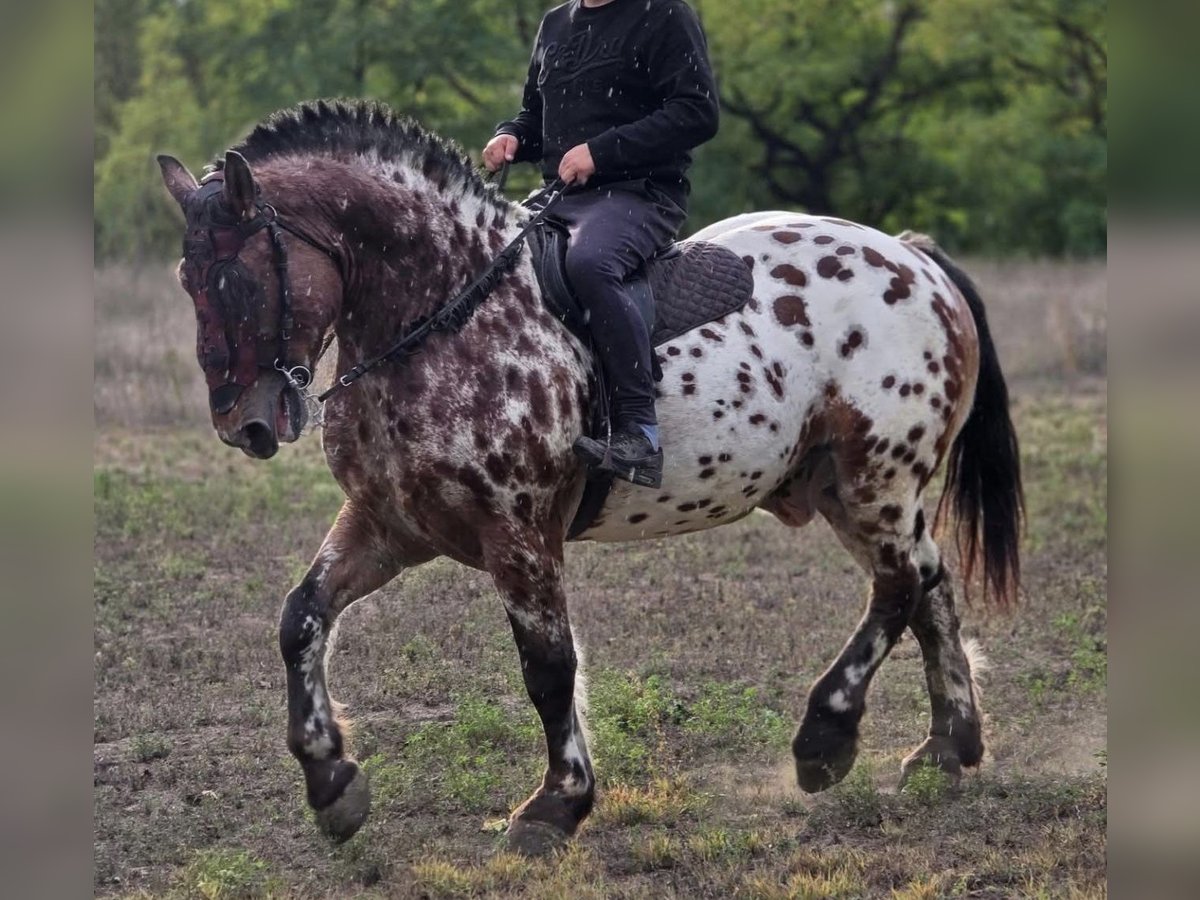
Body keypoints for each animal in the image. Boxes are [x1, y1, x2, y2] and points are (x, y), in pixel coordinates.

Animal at [155, 100, 1022, 853]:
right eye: (186, 281)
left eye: (236, 280)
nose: (246, 426)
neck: (443, 313)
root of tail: (914, 258)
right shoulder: (388, 526)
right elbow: (300, 619)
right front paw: (331, 780)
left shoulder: (519, 534)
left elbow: (548, 668)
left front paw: (556, 804)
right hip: (850, 491)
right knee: (928, 585)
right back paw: (948, 748)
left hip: (877, 479)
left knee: (900, 588)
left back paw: (826, 738)